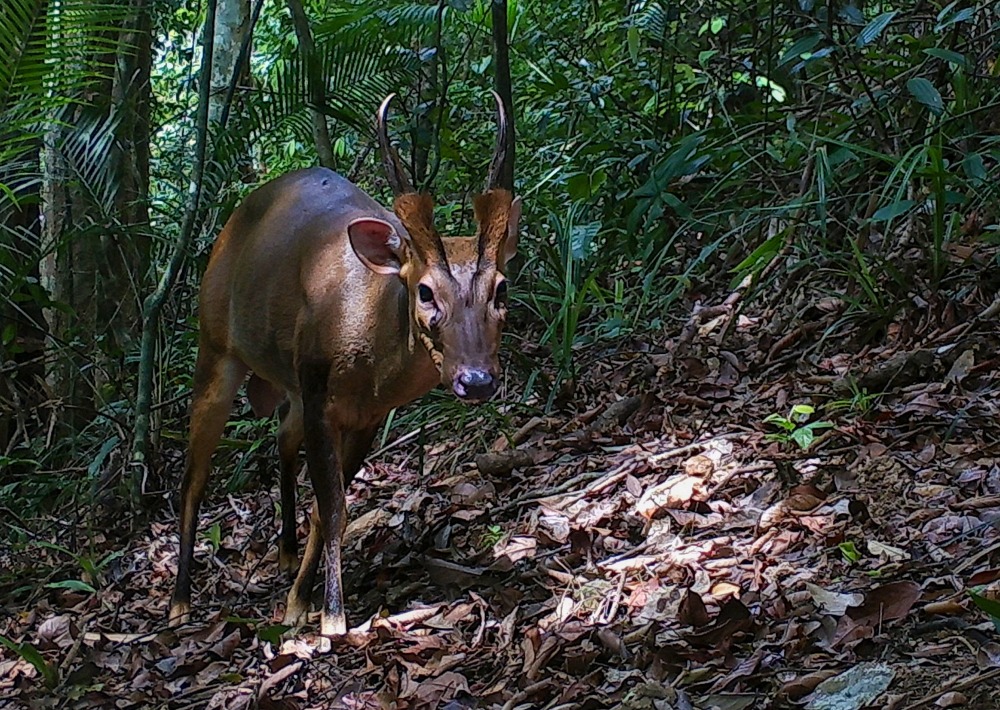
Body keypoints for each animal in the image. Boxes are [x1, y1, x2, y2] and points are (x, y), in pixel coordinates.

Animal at [167, 92, 520, 644]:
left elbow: (325, 507)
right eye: (425, 291)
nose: (476, 379)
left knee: (280, 437)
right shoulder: (319, 393)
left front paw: (299, 601)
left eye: (500, 289)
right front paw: (330, 615)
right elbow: (334, 507)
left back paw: (286, 555)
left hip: (287, 379)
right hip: (215, 343)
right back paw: (180, 603)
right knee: (193, 476)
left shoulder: (365, 413)